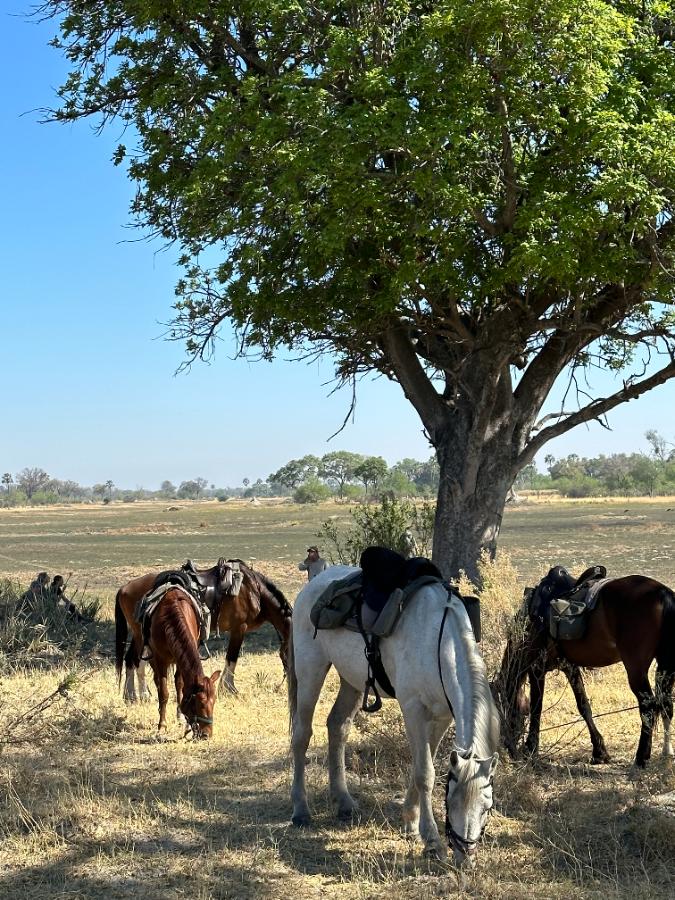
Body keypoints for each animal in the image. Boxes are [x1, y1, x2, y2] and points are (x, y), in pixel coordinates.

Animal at [115, 558, 292, 701]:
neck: (253, 590)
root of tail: (124, 587)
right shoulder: (240, 628)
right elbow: (232, 658)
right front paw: (229, 689)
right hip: (141, 634)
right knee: (137, 660)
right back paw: (142, 695)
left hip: (140, 633)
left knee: (131, 659)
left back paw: (130, 695)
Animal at [131, 584, 221, 737]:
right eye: (199, 703)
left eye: (214, 701)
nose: (206, 734)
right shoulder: (160, 659)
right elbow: (164, 692)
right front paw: (162, 725)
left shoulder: (180, 660)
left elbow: (180, 685)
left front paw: (182, 719)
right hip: (152, 658)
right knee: (157, 681)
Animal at [288, 565, 500, 868]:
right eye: (451, 801)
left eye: (486, 807)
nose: (464, 857)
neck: (438, 640)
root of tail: (312, 586)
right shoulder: (413, 709)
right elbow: (425, 773)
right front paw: (432, 842)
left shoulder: (442, 716)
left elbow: (421, 765)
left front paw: (410, 823)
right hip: (310, 671)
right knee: (301, 735)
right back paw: (301, 810)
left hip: (350, 680)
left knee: (337, 726)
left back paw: (344, 802)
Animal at [494, 573, 675, 768]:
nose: (508, 746)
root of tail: (662, 592)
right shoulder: (570, 668)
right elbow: (583, 706)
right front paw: (599, 751)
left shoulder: (536, 668)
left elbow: (537, 708)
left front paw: (531, 749)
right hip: (665, 666)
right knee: (666, 705)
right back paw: (666, 753)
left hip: (636, 668)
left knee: (648, 706)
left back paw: (641, 757)